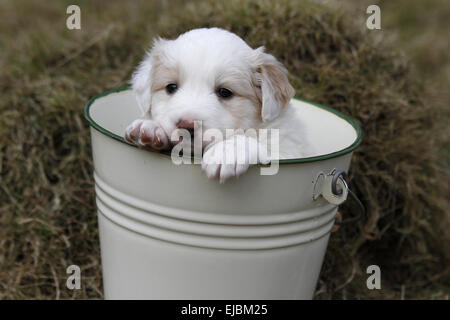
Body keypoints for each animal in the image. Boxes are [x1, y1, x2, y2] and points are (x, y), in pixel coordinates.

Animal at [125, 27, 312, 181]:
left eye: (224, 92)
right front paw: (150, 127)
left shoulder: (289, 151)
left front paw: (226, 151)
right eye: (171, 87)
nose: (186, 125)